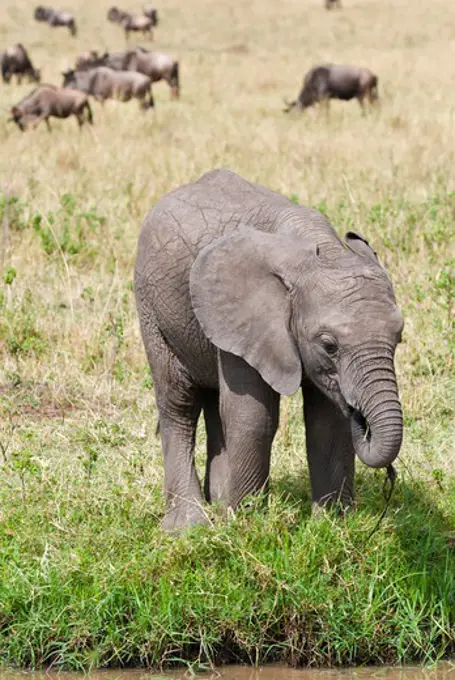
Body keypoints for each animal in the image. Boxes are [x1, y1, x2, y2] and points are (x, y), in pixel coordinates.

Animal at [134, 169, 402, 532]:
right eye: (329, 345)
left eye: (399, 337)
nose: (360, 416)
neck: (317, 253)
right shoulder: (241, 316)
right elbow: (253, 416)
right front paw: (247, 526)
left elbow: (327, 421)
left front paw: (330, 527)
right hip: (151, 306)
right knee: (179, 403)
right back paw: (189, 526)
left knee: (213, 402)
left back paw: (219, 505)